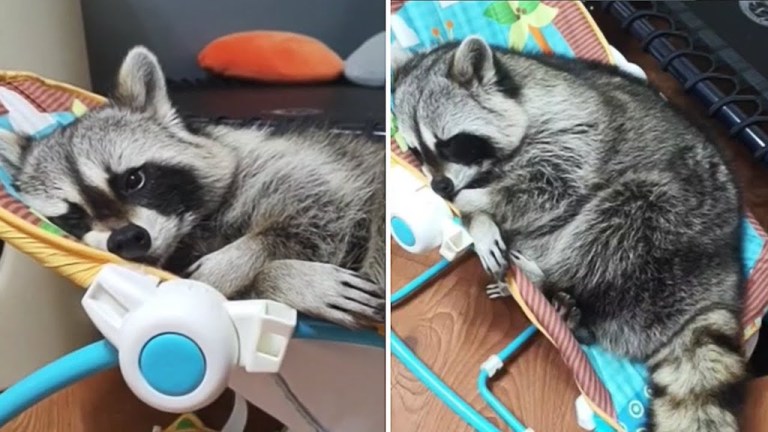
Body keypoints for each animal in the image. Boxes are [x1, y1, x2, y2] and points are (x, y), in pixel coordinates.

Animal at [0, 47, 384, 330]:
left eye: (134, 180)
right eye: (73, 216)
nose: (127, 239)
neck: (185, 236)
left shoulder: (284, 165)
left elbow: (317, 204)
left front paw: (244, 262)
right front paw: (272, 281)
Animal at [392, 37, 748, 432]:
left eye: (451, 143)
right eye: (415, 150)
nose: (440, 187)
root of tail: (722, 278)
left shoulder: (571, 126)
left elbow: (550, 188)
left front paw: (474, 202)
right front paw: (479, 220)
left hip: (674, 222)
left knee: (622, 212)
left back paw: (551, 283)